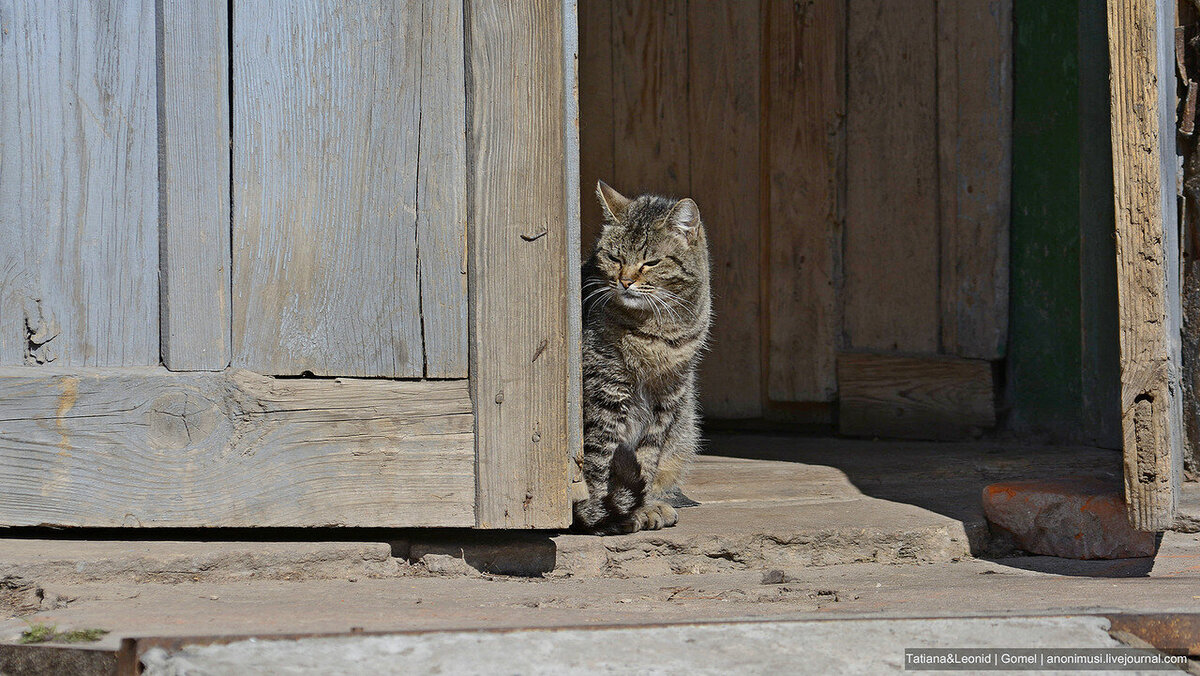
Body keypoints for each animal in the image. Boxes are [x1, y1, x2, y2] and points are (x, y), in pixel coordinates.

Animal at [573, 180, 710, 535]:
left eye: (650, 262)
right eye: (614, 257)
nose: (625, 281)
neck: (655, 333)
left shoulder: (667, 398)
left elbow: (646, 461)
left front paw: (644, 506)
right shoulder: (604, 393)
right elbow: (598, 463)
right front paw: (604, 513)